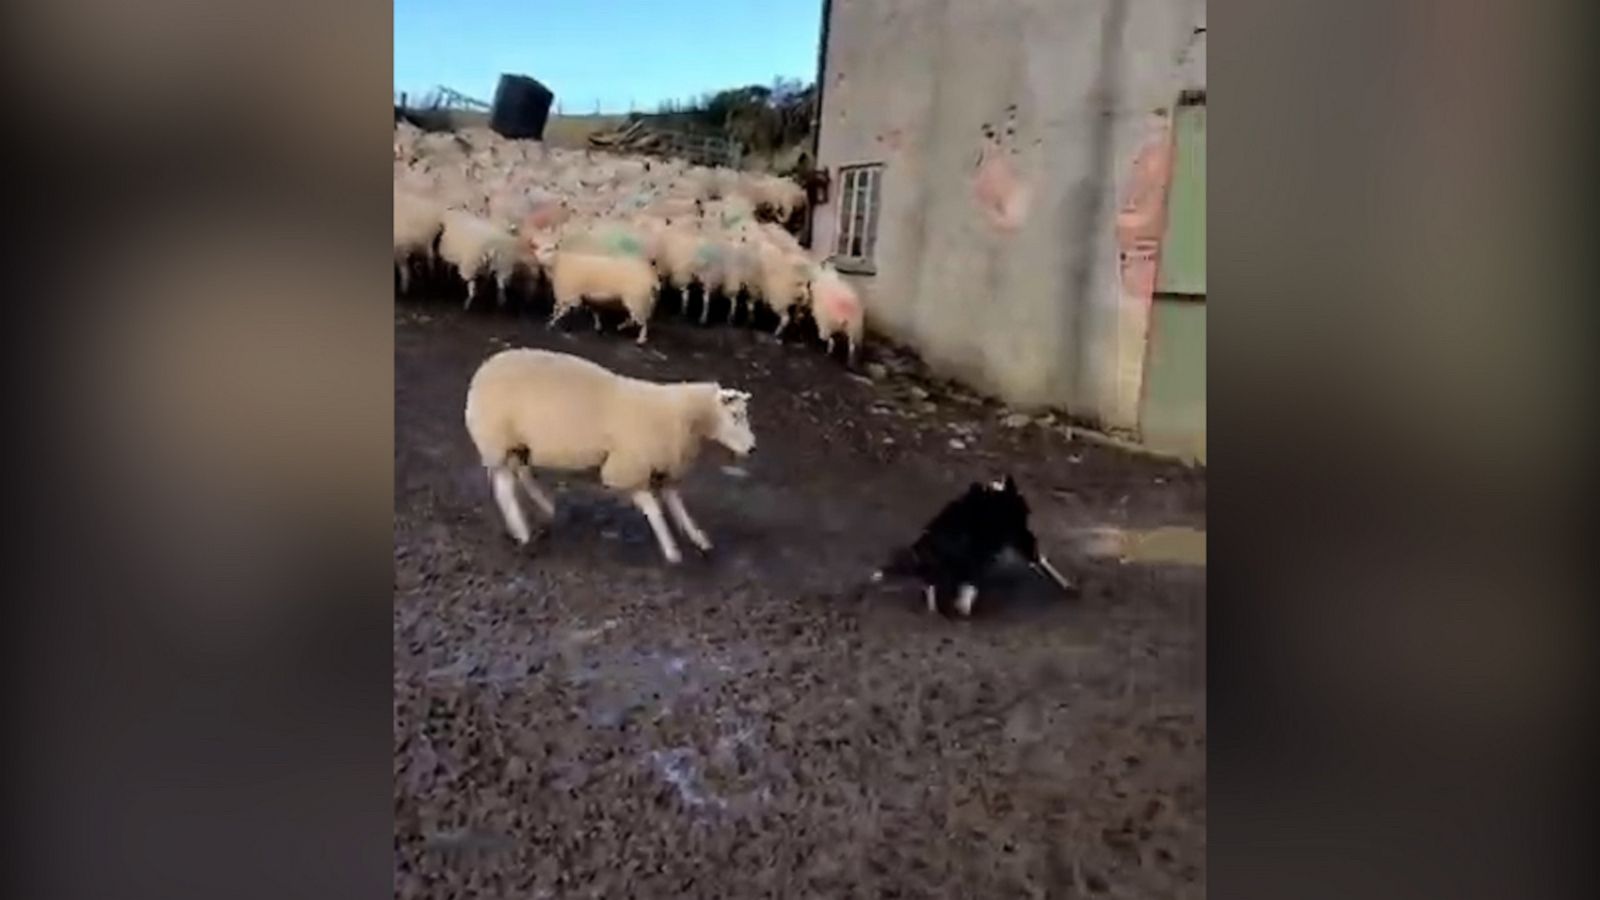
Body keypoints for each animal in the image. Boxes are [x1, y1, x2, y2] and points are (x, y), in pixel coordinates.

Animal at [464, 344, 755, 560]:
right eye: (735, 415)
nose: (753, 448)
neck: (681, 417)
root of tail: (484, 369)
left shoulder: (666, 469)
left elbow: (678, 506)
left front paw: (697, 538)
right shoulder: (629, 467)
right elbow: (655, 510)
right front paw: (671, 549)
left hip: (519, 443)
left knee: (523, 473)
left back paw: (546, 506)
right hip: (497, 439)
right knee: (505, 487)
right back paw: (522, 531)